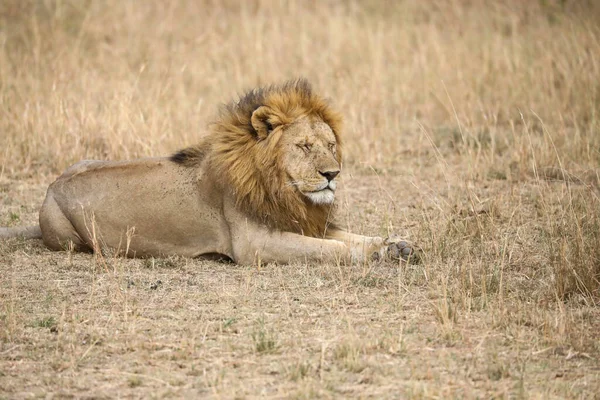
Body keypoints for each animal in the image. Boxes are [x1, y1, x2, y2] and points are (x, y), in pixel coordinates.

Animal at [2, 79, 418, 264]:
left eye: (331, 146)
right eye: (304, 146)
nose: (332, 174)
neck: (282, 189)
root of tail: (52, 186)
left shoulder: (303, 219)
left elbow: (351, 236)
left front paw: (396, 244)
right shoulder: (254, 244)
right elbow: (330, 248)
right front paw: (376, 254)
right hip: (68, 238)